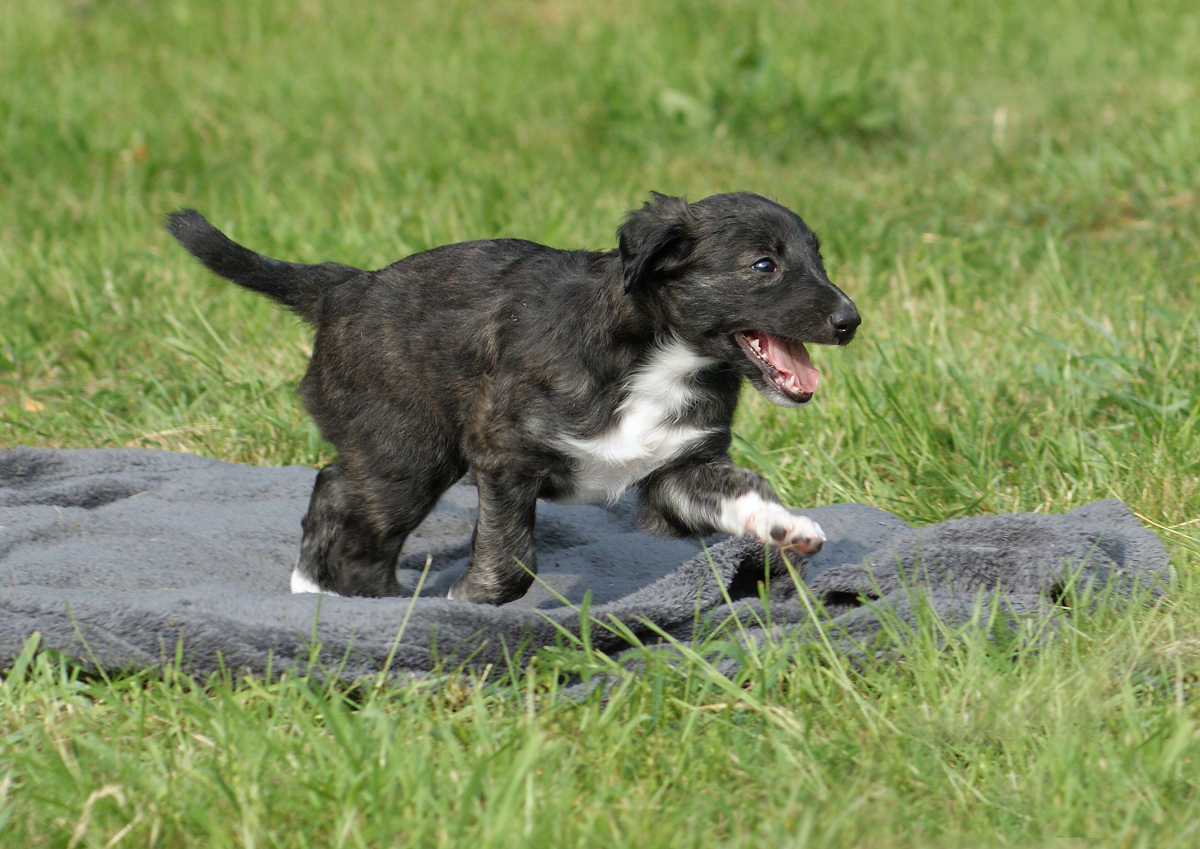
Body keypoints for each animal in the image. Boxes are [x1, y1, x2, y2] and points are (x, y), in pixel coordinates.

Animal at [171, 191, 864, 604]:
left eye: (818, 259)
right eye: (763, 265)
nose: (851, 321)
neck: (657, 355)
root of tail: (347, 286)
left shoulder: (678, 468)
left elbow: (740, 487)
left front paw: (786, 528)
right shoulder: (505, 455)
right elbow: (513, 558)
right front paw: (468, 605)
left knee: (341, 492)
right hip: (406, 451)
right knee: (345, 500)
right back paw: (343, 597)